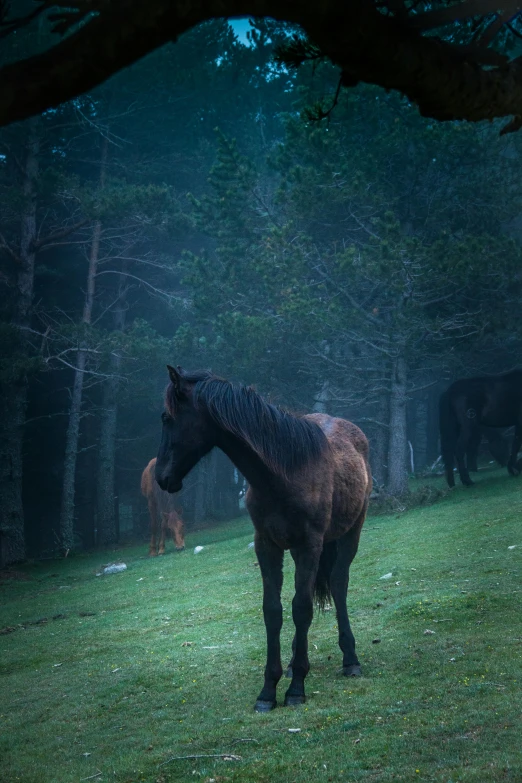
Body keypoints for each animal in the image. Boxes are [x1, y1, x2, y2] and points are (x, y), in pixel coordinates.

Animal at [154, 366, 370, 712]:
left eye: (166, 418)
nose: (162, 477)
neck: (282, 474)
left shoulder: (310, 544)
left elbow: (302, 608)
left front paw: (295, 689)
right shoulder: (267, 545)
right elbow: (274, 611)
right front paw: (269, 690)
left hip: (351, 533)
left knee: (338, 584)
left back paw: (350, 659)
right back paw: (297, 657)